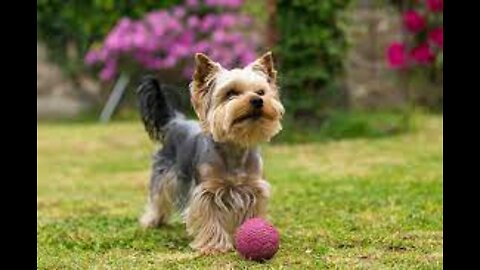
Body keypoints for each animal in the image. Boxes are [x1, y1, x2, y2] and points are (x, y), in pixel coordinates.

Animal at [136, 52, 284, 253]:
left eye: (261, 92)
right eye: (231, 93)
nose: (257, 100)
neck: (235, 147)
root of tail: (175, 121)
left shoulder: (253, 189)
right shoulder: (207, 191)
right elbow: (210, 216)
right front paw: (214, 245)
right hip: (164, 172)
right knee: (158, 195)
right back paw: (152, 220)